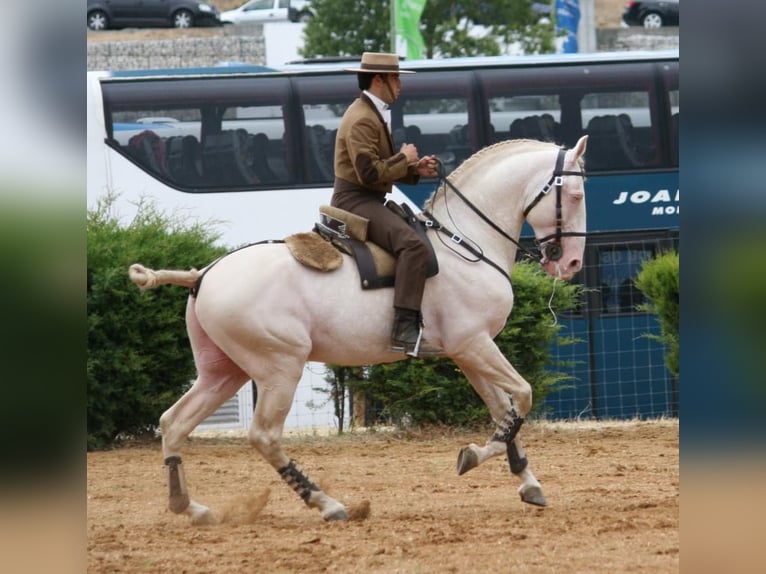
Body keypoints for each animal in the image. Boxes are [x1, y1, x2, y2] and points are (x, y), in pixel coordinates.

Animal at [130, 137, 588, 524]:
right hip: (279, 369)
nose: (570, 264)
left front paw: (527, 482)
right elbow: (522, 397)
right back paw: (328, 504)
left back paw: (191, 507)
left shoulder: (468, 352)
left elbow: (503, 410)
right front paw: (474, 455)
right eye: (576, 195)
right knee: (264, 437)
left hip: (223, 372)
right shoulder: (474, 345)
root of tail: (203, 274)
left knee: (174, 423)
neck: (465, 243)